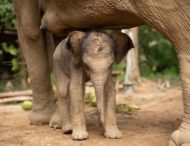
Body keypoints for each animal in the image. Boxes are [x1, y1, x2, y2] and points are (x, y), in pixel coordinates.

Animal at [14, 0, 190, 145]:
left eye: (112, 63)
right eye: (85, 64)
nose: (101, 124)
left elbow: (110, 90)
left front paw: (114, 135)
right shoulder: (75, 63)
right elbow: (76, 90)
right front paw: (80, 137)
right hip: (58, 63)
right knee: (64, 90)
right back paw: (66, 129)